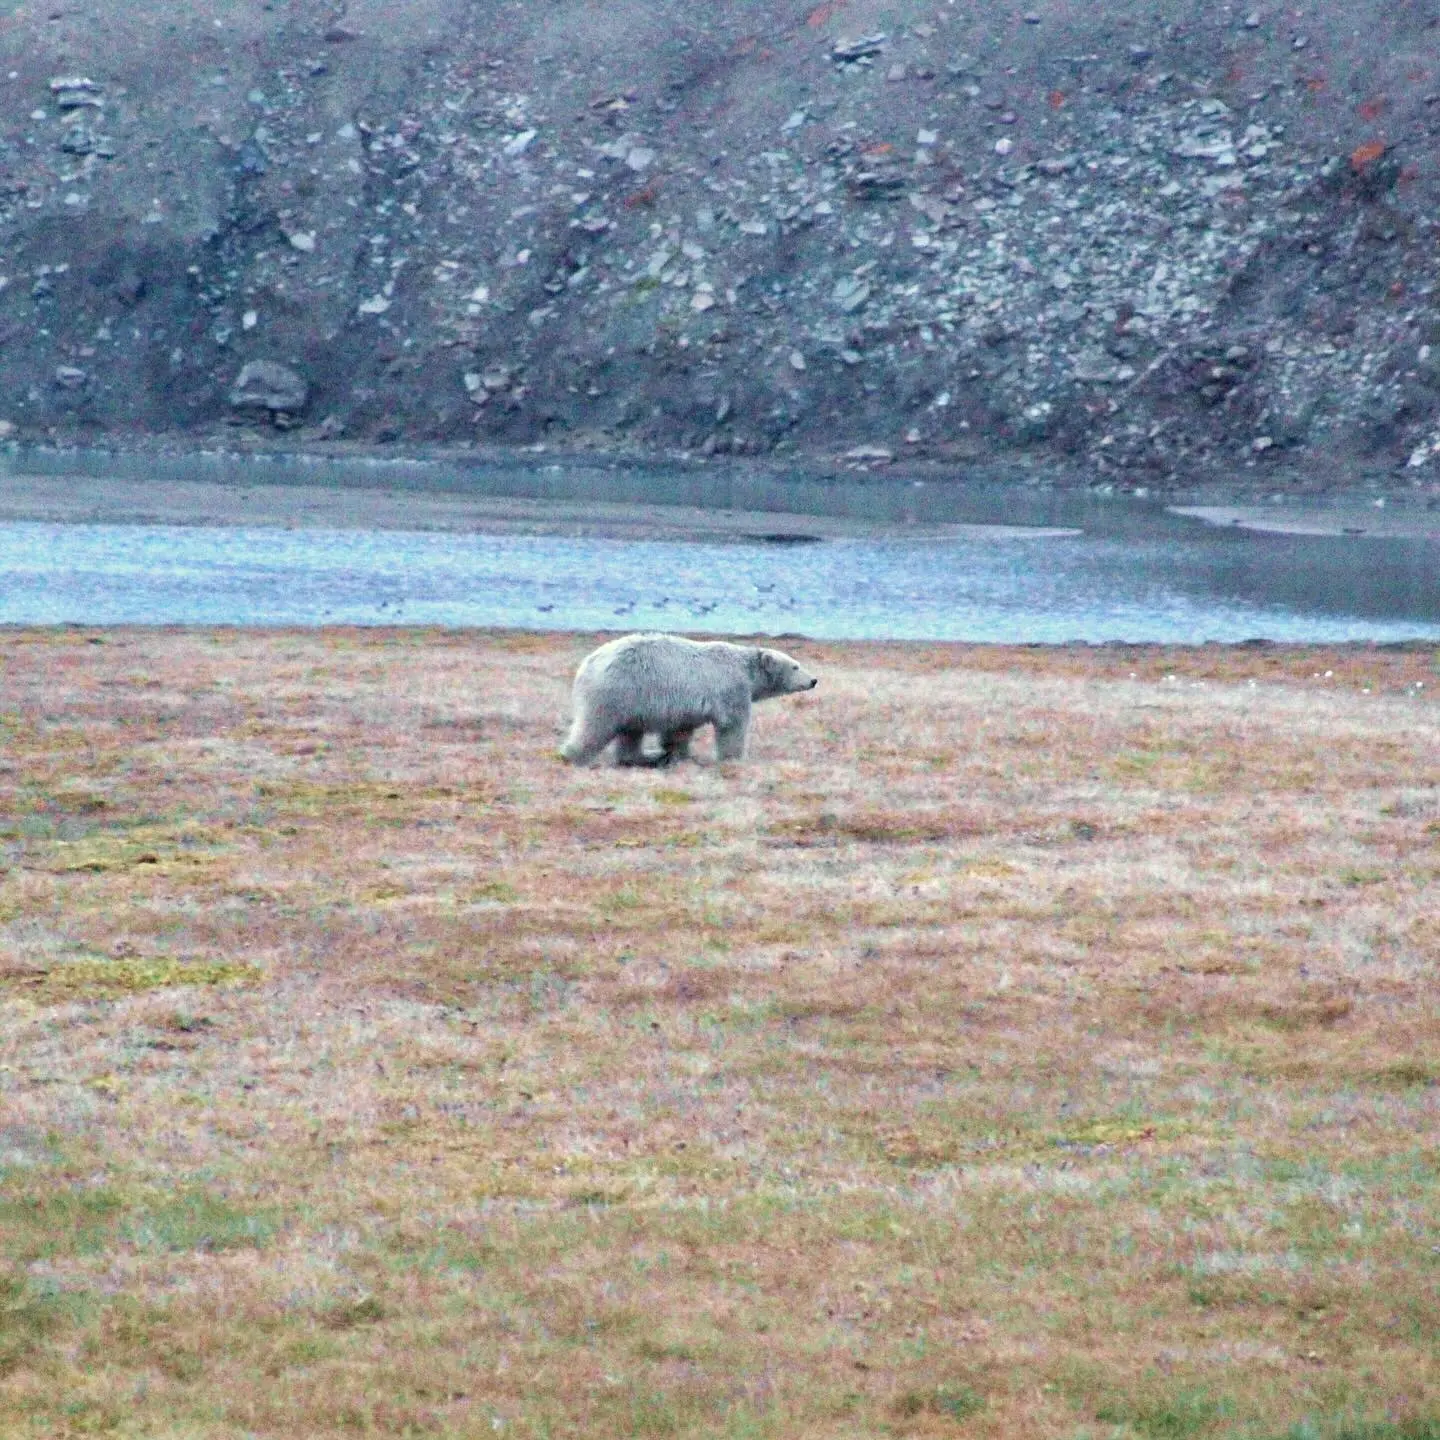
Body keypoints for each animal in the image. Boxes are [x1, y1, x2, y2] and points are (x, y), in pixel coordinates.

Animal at [555, 633, 817, 766]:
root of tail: (588, 663)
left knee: (630, 732)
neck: (745, 668)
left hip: (632, 699)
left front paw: (677, 754)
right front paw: (734, 757)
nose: (814, 680)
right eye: (795, 666)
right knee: (597, 725)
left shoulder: (684, 706)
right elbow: (732, 725)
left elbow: (679, 731)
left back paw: (643, 756)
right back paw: (573, 755)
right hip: (618, 689)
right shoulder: (732, 690)